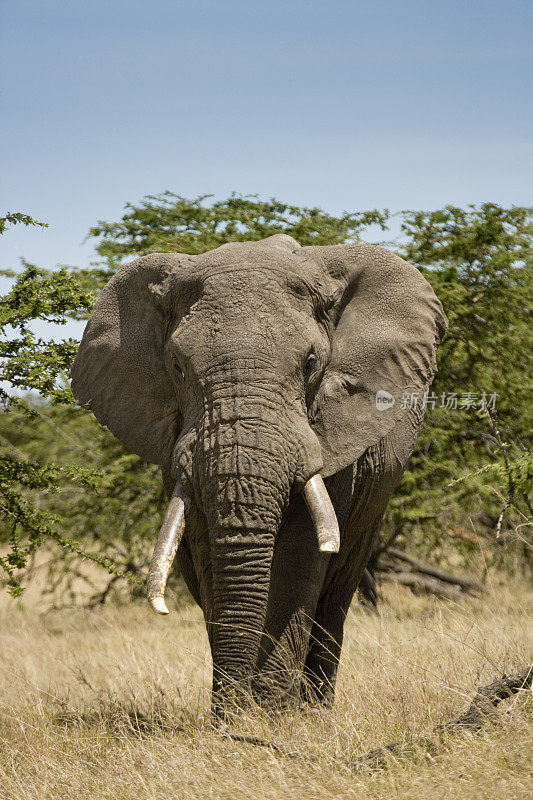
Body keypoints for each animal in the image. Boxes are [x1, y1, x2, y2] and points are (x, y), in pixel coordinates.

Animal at [70, 234, 444, 716]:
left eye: (311, 363)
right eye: (176, 366)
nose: (234, 707)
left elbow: (299, 559)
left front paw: (271, 717)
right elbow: (210, 554)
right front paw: (236, 716)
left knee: (338, 591)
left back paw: (316, 711)